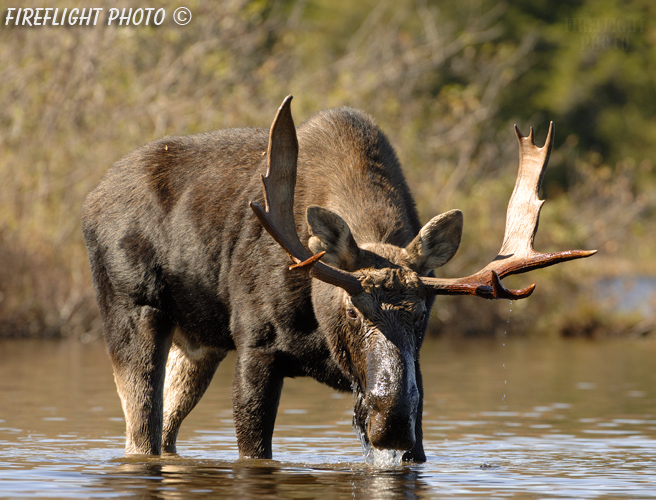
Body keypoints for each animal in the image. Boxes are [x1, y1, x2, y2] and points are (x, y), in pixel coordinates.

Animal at [82, 95, 596, 462]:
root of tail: (89, 200)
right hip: (133, 312)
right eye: (351, 308)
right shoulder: (256, 346)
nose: (391, 421)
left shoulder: (415, 376)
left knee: (166, 429)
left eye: (423, 313)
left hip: (198, 340)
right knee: (140, 431)